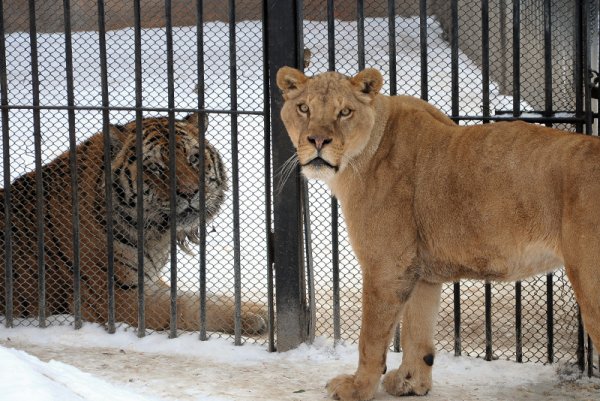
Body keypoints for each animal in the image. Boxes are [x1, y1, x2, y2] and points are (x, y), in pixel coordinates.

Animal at [0, 112, 268, 334]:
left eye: (194, 158)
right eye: (155, 168)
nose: (190, 192)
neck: (155, 234)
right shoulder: (120, 296)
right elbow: (189, 306)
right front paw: (253, 315)